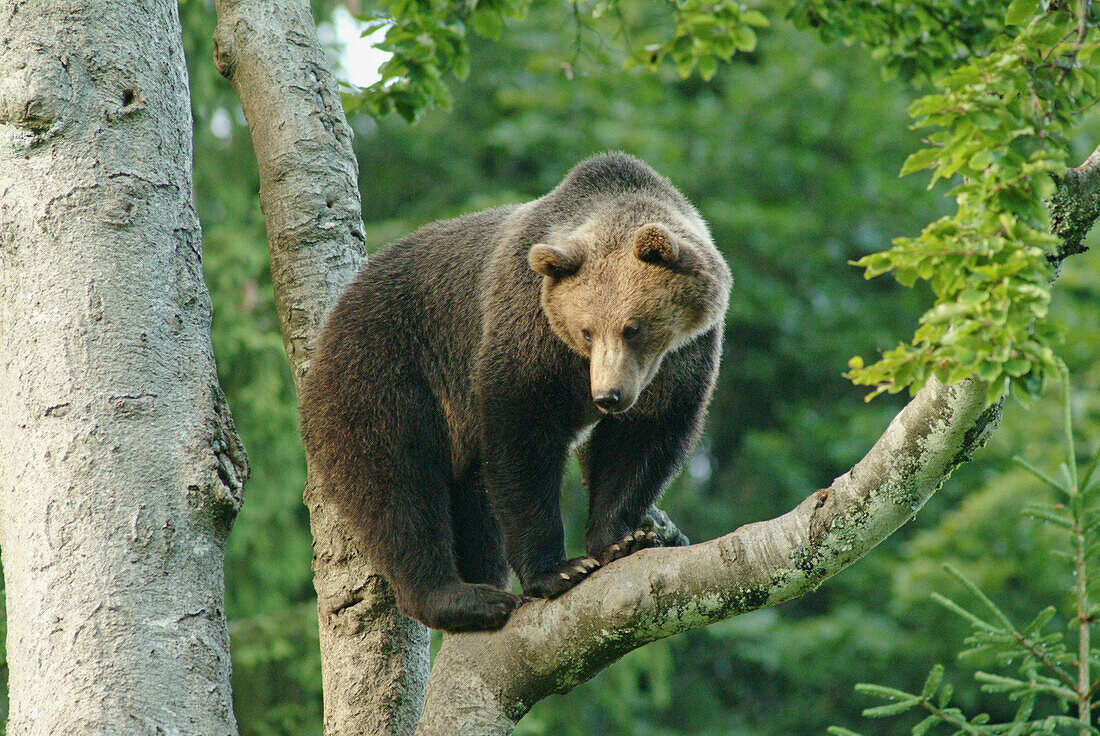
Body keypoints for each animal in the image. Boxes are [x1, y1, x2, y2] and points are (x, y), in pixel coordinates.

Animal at [301, 154, 730, 633]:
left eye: (632, 327)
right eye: (587, 330)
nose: (608, 396)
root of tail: (329, 326)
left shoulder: (685, 355)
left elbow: (645, 438)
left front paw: (623, 536)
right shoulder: (527, 327)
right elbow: (524, 437)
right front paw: (559, 569)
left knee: (473, 504)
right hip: (384, 369)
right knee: (397, 483)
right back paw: (463, 596)